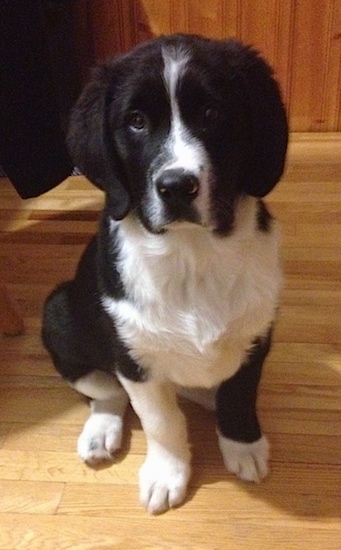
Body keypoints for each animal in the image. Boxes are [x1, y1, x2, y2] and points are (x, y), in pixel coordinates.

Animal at [41, 34, 286, 516]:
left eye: (211, 114)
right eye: (136, 122)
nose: (176, 187)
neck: (191, 256)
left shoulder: (255, 335)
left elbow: (239, 396)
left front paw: (244, 446)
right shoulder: (134, 356)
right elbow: (161, 420)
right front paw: (167, 473)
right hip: (59, 315)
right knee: (107, 391)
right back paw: (101, 430)